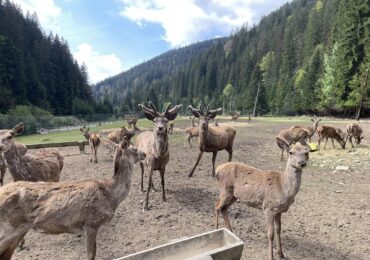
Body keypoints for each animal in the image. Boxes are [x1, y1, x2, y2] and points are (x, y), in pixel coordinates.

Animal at [0, 136, 145, 260]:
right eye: (133, 148)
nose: (144, 153)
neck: (111, 195)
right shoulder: (91, 223)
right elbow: (91, 254)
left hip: (18, 232)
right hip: (7, 230)